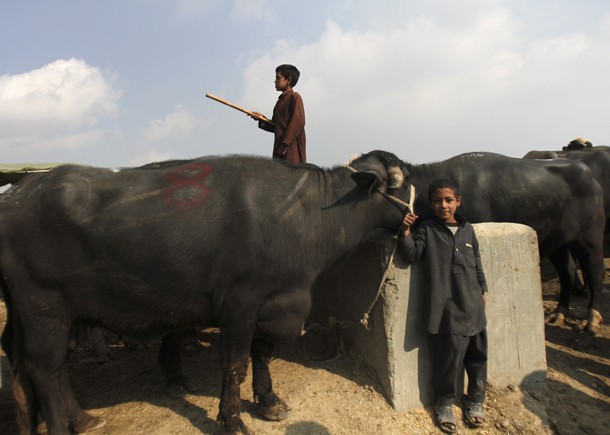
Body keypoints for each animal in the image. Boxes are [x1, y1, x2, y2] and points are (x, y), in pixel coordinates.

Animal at [0, 150, 413, 435]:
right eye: (405, 181)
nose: (421, 212)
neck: (301, 214)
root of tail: (18, 194)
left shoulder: (274, 303)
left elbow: (262, 355)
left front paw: (268, 402)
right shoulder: (240, 305)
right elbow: (234, 364)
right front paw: (232, 421)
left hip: (51, 316)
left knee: (48, 370)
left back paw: (82, 418)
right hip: (43, 309)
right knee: (44, 369)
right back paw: (62, 425)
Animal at [405, 152, 605, 334]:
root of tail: (590, 177)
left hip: (591, 238)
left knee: (595, 272)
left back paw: (591, 320)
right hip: (558, 243)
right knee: (567, 271)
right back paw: (558, 313)